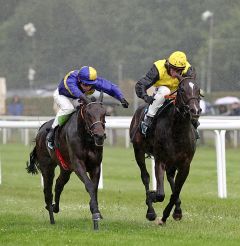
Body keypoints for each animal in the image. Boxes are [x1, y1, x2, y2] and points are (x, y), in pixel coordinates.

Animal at [25, 91, 107, 230]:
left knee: (59, 184)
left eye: (104, 113)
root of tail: (41, 129)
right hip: (47, 167)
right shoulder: (78, 164)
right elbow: (89, 185)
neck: (85, 137)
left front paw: (95, 210)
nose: (99, 136)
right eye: (88, 114)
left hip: (65, 168)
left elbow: (95, 187)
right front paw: (95, 214)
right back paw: (51, 215)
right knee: (48, 191)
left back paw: (55, 207)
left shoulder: (95, 165)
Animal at [130, 74, 202, 225]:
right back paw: (151, 210)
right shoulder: (160, 160)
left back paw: (177, 209)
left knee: (170, 177)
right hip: (138, 151)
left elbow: (175, 193)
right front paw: (152, 199)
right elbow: (160, 194)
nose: (195, 111)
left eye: (198, 89)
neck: (177, 130)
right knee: (145, 177)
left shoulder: (185, 164)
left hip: (172, 162)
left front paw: (169, 215)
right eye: (182, 90)